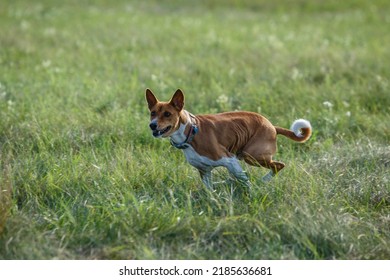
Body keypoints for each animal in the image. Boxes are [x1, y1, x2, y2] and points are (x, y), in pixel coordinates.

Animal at [145, 87, 312, 188]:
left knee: (278, 165)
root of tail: (272, 126)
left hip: (251, 156)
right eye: (153, 113)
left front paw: (251, 194)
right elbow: (209, 192)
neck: (191, 132)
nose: (152, 125)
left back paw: (262, 181)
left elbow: (245, 182)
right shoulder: (204, 171)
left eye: (167, 114)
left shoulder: (229, 160)